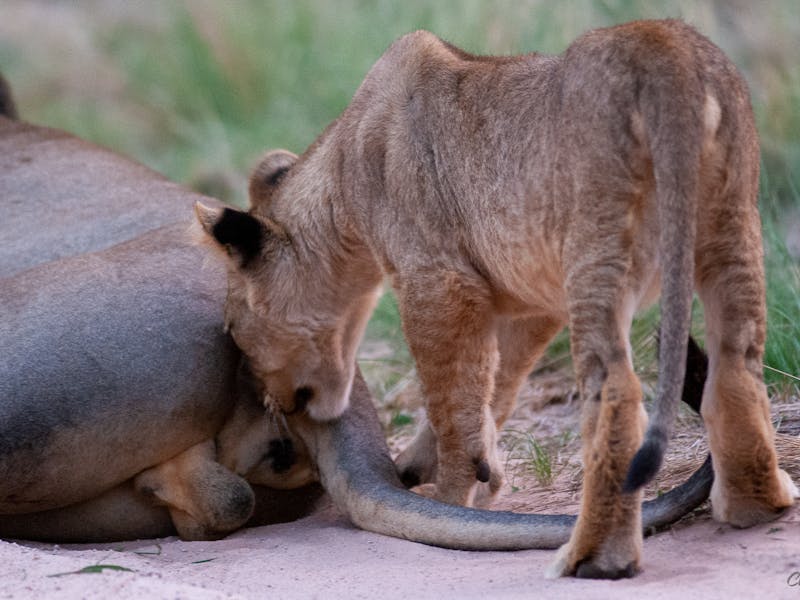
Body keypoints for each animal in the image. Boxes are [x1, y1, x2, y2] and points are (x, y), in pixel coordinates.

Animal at [197, 21, 796, 580]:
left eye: (234, 331)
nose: (274, 401)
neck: (343, 182)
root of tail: (663, 48)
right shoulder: (528, 299)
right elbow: (492, 388)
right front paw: (465, 473)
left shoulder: (436, 281)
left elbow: (451, 405)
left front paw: (449, 504)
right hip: (730, 224)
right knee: (737, 362)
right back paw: (758, 504)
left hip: (597, 250)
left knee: (617, 393)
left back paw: (594, 556)